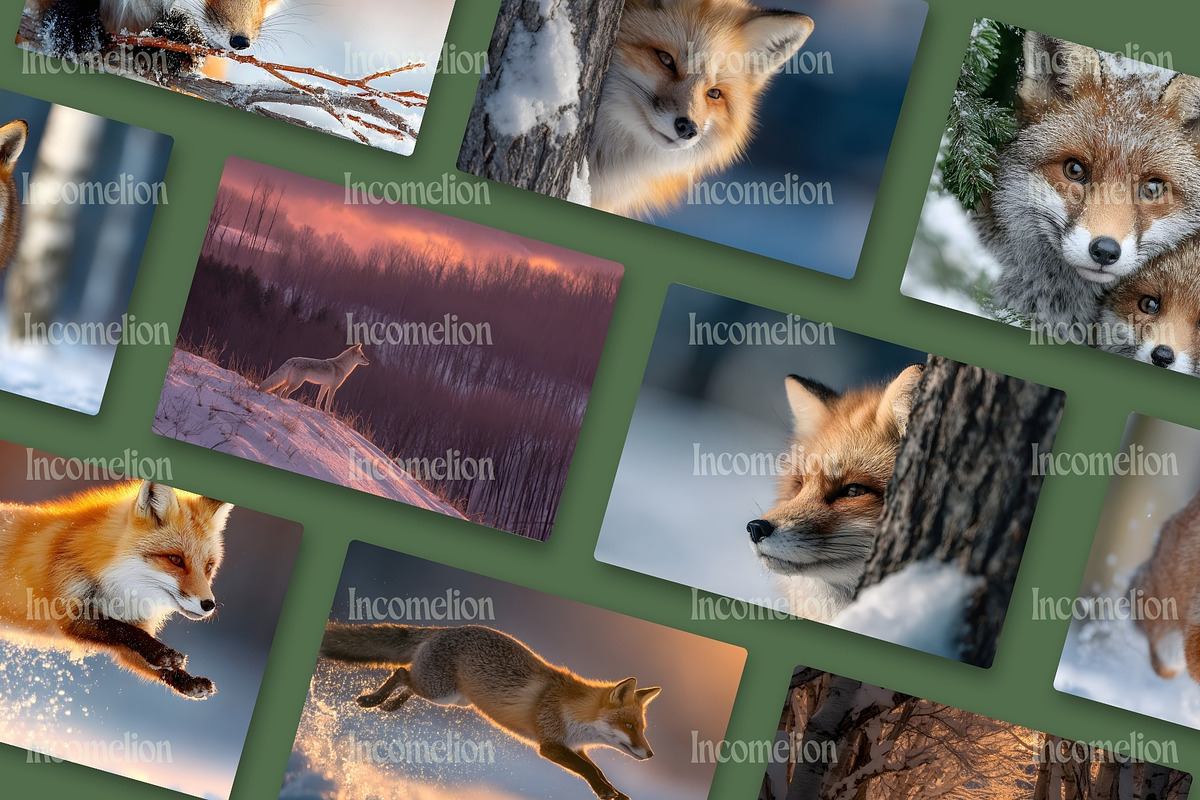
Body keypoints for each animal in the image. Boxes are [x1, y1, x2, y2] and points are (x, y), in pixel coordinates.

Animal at [0, 480, 233, 699]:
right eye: (175, 560)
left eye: (208, 567)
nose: (208, 605)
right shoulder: (69, 613)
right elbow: (120, 629)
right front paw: (164, 653)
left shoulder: (132, 627)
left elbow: (140, 649)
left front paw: (188, 681)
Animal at [321, 623, 661, 800]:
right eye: (630, 726)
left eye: (642, 728)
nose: (650, 754)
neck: (572, 711)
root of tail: (447, 628)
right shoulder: (550, 745)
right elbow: (588, 770)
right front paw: (606, 793)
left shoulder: (573, 747)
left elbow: (596, 769)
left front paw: (612, 792)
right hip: (440, 691)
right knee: (401, 672)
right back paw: (374, 700)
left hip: (453, 698)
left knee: (407, 680)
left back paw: (392, 704)